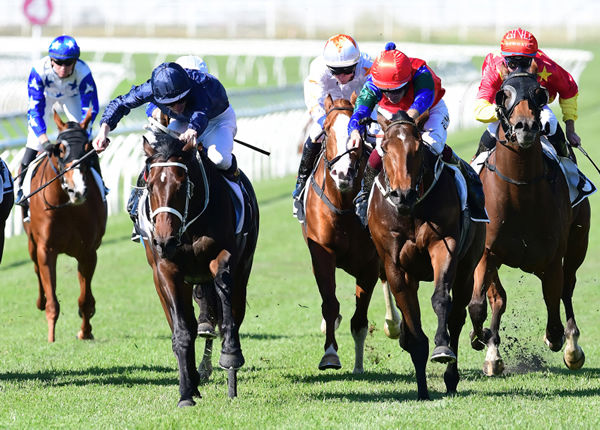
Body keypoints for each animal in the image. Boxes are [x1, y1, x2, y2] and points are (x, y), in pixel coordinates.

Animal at [24, 110, 106, 342]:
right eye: (60, 149)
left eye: (88, 148)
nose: (77, 190)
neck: (67, 206)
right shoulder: (46, 249)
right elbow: (53, 301)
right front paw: (51, 338)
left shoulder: (88, 252)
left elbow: (85, 300)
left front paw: (85, 332)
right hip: (31, 242)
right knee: (35, 268)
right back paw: (40, 301)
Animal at [142, 130, 262, 406]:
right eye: (150, 185)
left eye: (181, 185)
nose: (163, 240)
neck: (187, 227)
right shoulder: (166, 270)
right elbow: (182, 330)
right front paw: (186, 392)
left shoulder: (224, 257)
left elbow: (225, 307)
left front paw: (230, 356)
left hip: (244, 269)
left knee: (232, 313)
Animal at [302, 95, 386, 372]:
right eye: (327, 131)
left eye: (357, 132)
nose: (343, 173)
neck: (343, 204)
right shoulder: (322, 254)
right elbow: (330, 305)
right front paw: (330, 353)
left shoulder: (370, 264)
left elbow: (359, 319)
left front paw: (358, 365)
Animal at [368, 110, 486, 400]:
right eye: (385, 148)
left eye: (418, 147)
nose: (403, 194)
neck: (411, 211)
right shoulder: (395, 265)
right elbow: (412, 323)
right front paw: (421, 389)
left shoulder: (443, 245)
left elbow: (441, 299)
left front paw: (442, 348)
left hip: (467, 268)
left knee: (457, 317)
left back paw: (451, 375)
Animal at [468, 69, 592, 374]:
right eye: (503, 94)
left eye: (539, 93)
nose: (525, 127)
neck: (520, 192)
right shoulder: (487, 253)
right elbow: (482, 303)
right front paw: (484, 340)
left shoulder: (552, 257)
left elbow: (554, 302)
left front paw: (558, 339)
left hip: (578, 243)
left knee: (567, 287)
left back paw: (572, 347)